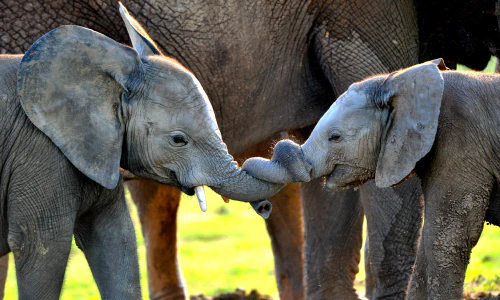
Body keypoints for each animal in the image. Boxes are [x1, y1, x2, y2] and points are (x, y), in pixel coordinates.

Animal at [0, 22, 282, 298]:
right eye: (178, 139)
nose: (265, 208)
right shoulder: (39, 152)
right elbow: (43, 246)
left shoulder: (100, 149)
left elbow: (116, 238)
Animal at [244, 59, 500, 300]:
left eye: (335, 137)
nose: (264, 207)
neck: (399, 81)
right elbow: (428, 245)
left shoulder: (463, 146)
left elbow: (445, 241)